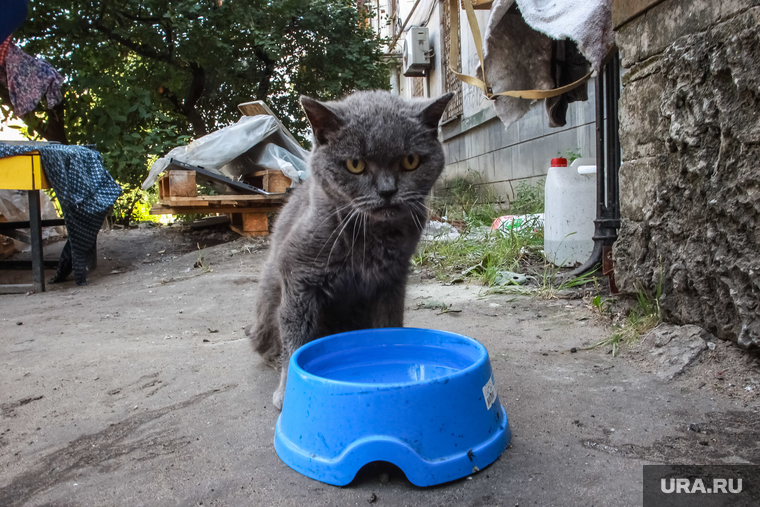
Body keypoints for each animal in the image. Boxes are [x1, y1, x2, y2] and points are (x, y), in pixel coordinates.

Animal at [246, 90, 454, 408]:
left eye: (410, 161)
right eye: (355, 165)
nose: (387, 191)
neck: (371, 236)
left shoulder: (392, 281)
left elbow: (389, 326)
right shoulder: (297, 275)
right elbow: (295, 339)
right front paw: (287, 391)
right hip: (270, 289)